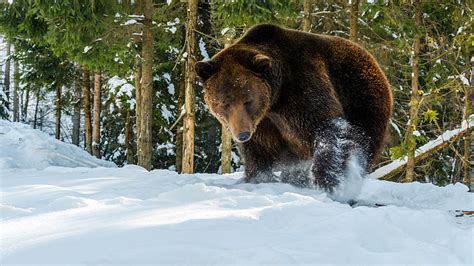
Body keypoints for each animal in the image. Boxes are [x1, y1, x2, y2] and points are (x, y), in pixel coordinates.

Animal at [194, 22, 390, 190]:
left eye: (247, 100)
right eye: (224, 103)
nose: (242, 134)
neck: (275, 100)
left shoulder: (301, 89)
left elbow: (328, 127)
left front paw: (329, 181)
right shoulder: (263, 125)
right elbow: (258, 153)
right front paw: (258, 178)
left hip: (361, 97)